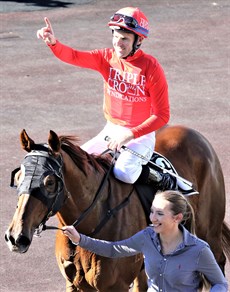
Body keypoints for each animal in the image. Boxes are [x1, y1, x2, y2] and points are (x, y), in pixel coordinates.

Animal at [4, 125, 230, 290]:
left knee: (217, 262)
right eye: (18, 176)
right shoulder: (74, 284)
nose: (16, 237)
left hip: (209, 231)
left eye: (50, 182)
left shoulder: (116, 285)